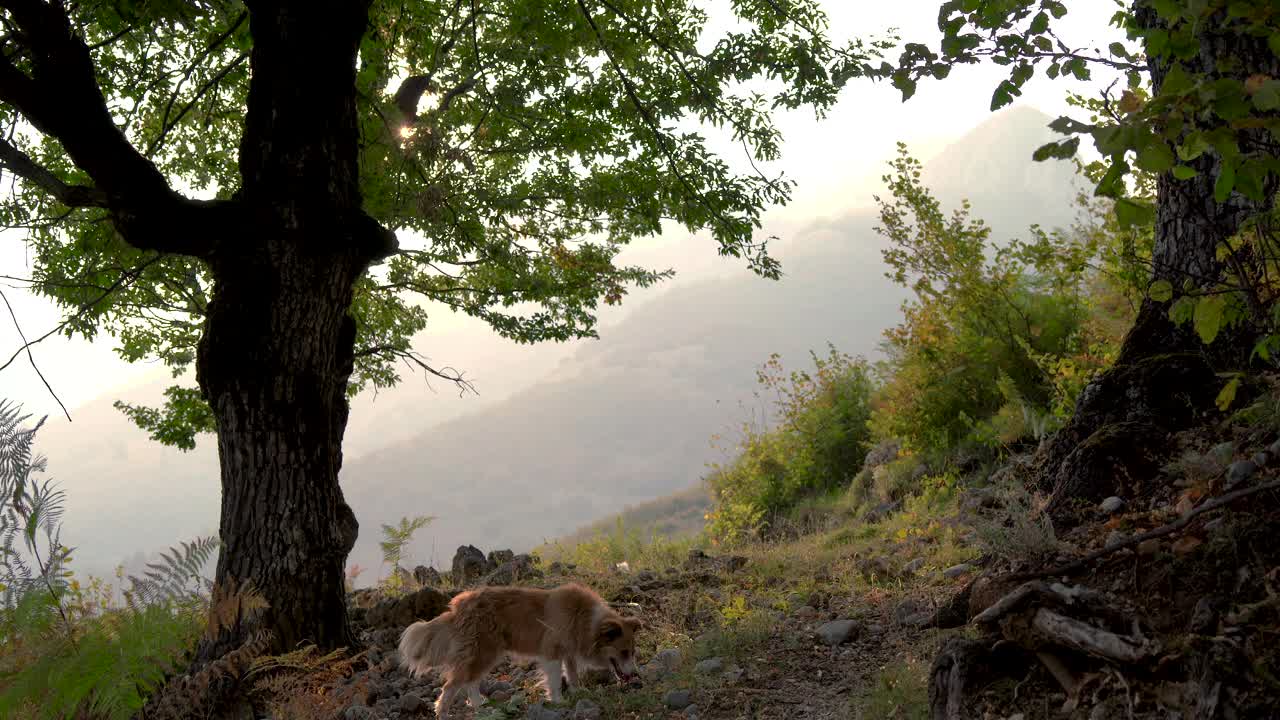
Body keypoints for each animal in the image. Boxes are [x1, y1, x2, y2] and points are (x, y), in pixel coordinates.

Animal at [396, 579, 640, 712]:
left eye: (632, 652)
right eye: (623, 652)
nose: (634, 675)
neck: (586, 620)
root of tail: (457, 607)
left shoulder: (569, 651)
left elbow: (571, 673)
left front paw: (578, 691)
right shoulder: (551, 652)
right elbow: (554, 680)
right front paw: (559, 701)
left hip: (486, 653)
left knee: (470, 681)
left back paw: (479, 705)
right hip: (483, 651)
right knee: (452, 685)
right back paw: (444, 711)